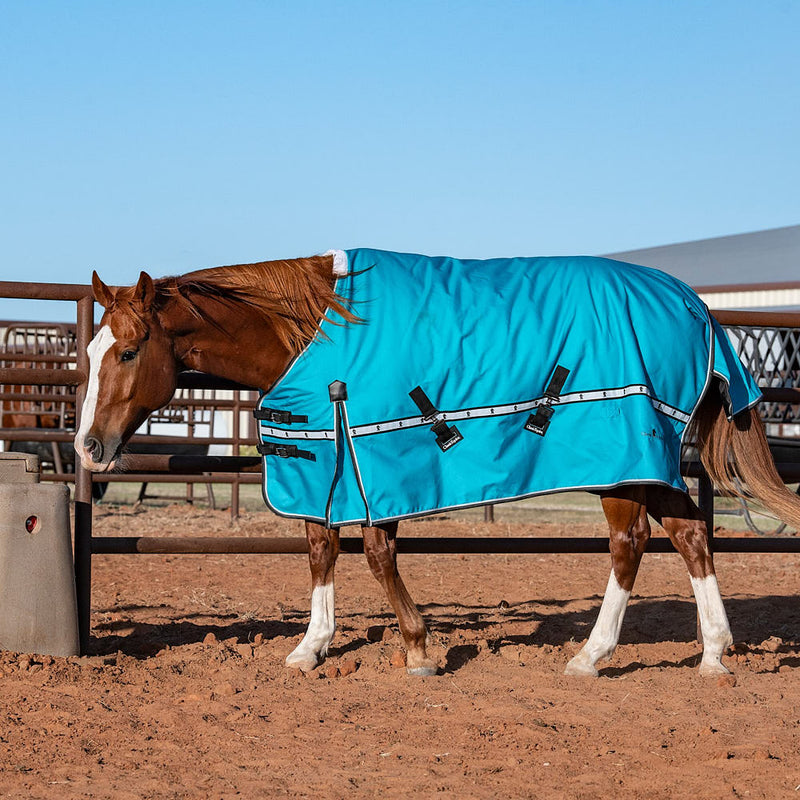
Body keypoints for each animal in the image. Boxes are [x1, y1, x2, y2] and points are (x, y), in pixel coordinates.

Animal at [74, 249, 800, 677]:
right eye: (90, 349)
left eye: (130, 351)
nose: (87, 446)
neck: (316, 329)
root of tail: (694, 305)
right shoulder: (331, 458)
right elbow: (320, 548)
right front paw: (311, 646)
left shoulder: (376, 458)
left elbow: (374, 552)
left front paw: (418, 647)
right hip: (649, 463)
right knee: (690, 533)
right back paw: (714, 653)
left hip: (621, 462)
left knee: (632, 543)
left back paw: (592, 655)